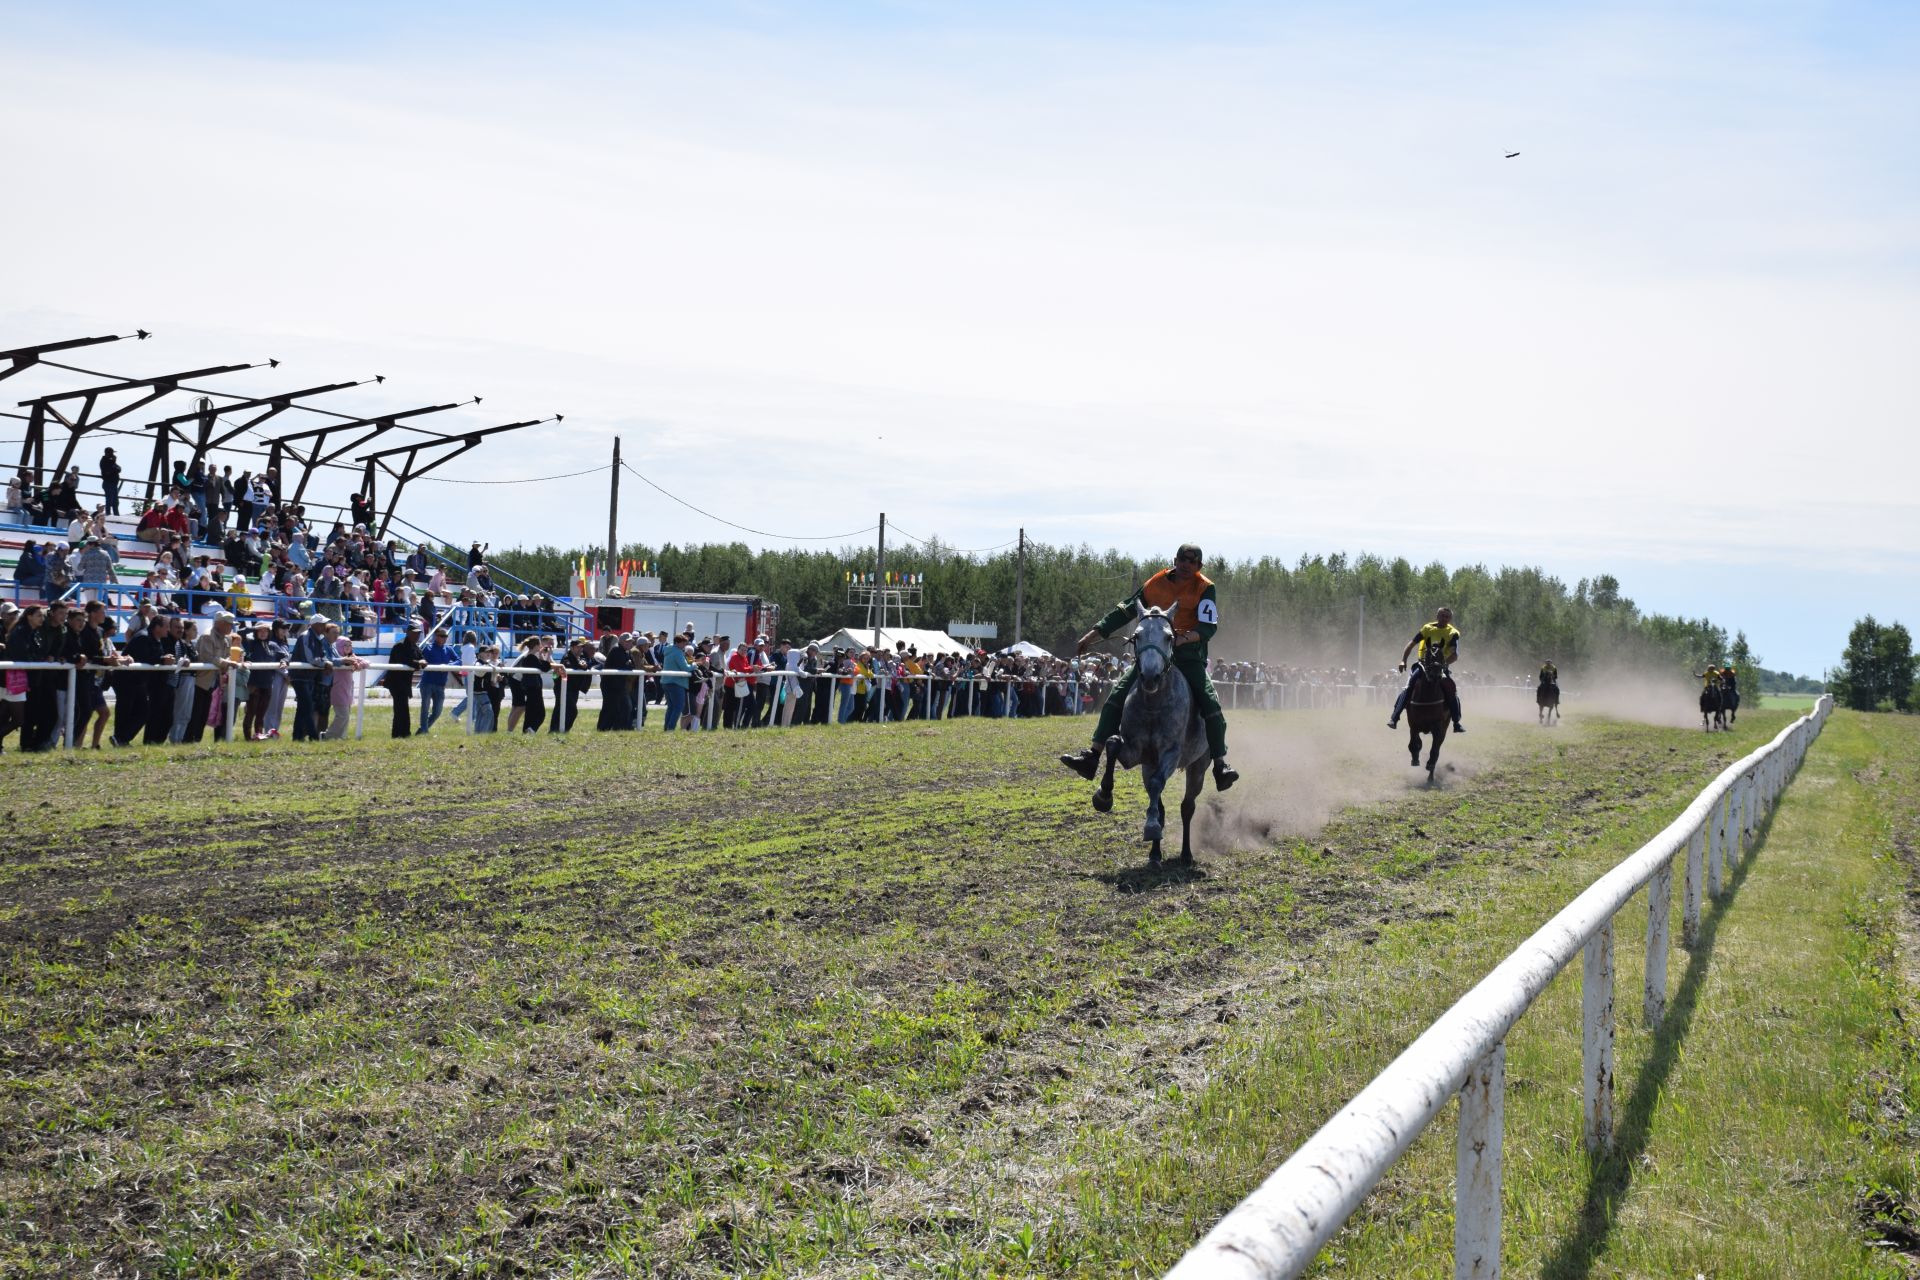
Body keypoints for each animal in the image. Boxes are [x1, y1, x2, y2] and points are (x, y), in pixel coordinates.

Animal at [1090, 606, 1205, 867]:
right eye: (1137, 636)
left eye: (1169, 637)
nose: (1150, 677)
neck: (1154, 704)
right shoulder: (1136, 754)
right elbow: (1112, 743)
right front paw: (1104, 795)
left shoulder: (1170, 754)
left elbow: (1157, 786)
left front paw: (1150, 826)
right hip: (1148, 766)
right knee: (1160, 803)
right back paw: (1155, 854)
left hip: (1199, 766)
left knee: (1187, 807)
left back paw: (1186, 853)